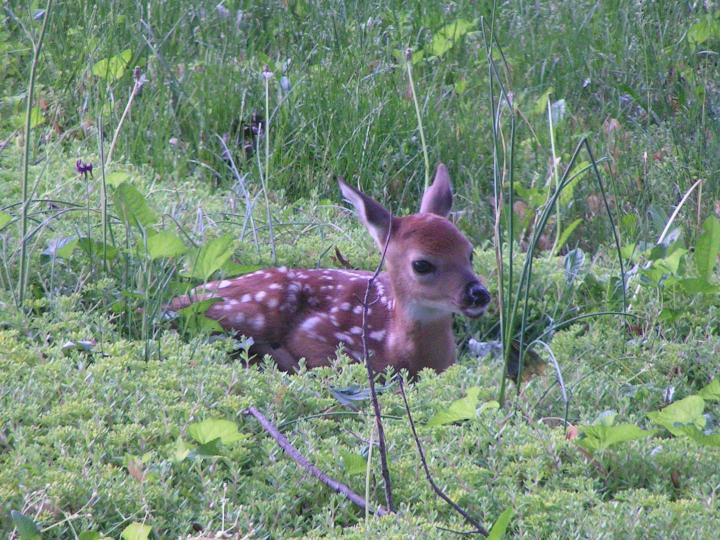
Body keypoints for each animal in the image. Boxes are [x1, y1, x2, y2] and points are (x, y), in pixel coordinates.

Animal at [168, 164, 490, 375]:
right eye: (421, 264)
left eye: (469, 252)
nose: (478, 294)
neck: (397, 349)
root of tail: (175, 301)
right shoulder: (322, 341)